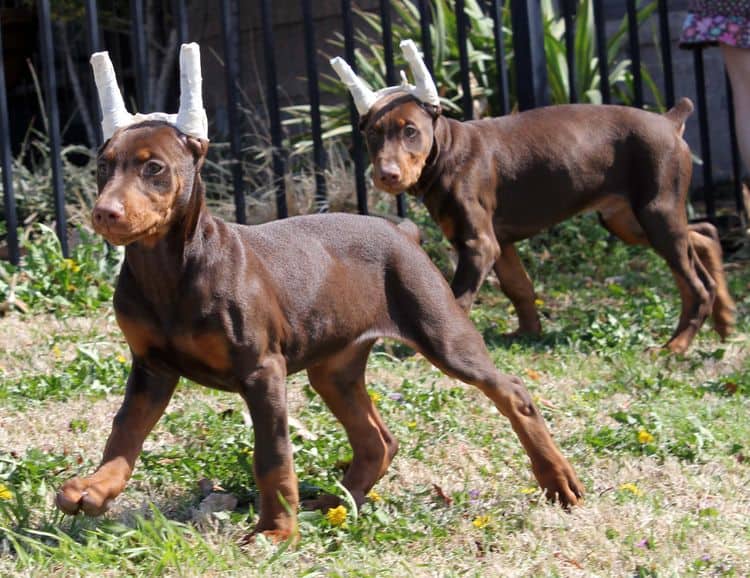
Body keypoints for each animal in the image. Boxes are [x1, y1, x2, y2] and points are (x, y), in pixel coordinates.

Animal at [57, 44, 588, 540]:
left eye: (155, 169)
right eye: (103, 165)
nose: (104, 213)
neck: (168, 270)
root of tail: (401, 232)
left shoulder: (261, 371)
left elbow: (272, 456)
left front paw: (276, 531)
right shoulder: (151, 368)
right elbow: (125, 431)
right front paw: (95, 489)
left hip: (441, 332)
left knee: (510, 391)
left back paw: (557, 481)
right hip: (334, 366)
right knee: (377, 441)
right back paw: (336, 504)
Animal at [332, 40, 736, 354]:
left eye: (411, 131)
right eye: (372, 134)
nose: (387, 175)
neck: (447, 153)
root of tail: (669, 120)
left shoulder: (478, 243)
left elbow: (457, 297)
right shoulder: (499, 242)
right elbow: (519, 288)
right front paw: (527, 333)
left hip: (655, 209)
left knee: (696, 284)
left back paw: (677, 346)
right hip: (627, 218)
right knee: (703, 234)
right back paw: (726, 318)